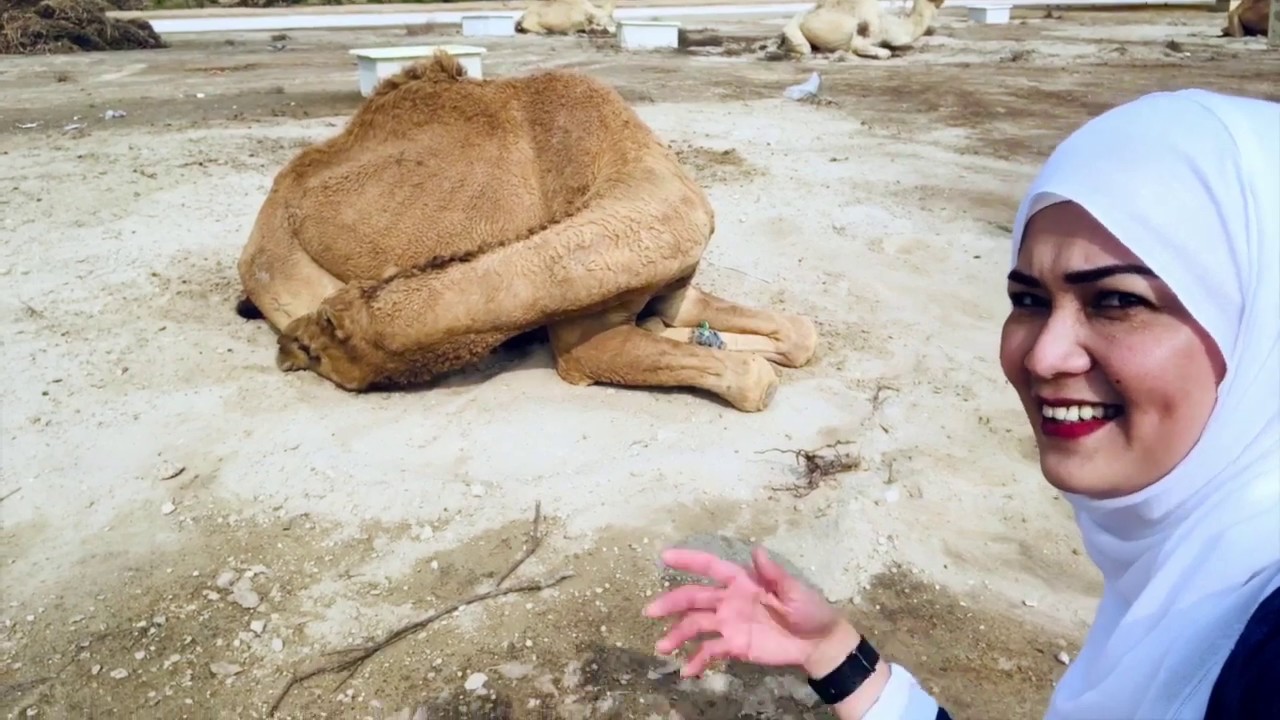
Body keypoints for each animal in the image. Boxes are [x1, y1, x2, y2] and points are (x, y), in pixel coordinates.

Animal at [233, 52, 818, 413]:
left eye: (323, 343)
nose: (290, 348)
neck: (627, 163)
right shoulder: (586, 328)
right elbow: (752, 378)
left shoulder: (673, 284)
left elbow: (798, 334)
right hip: (280, 266)